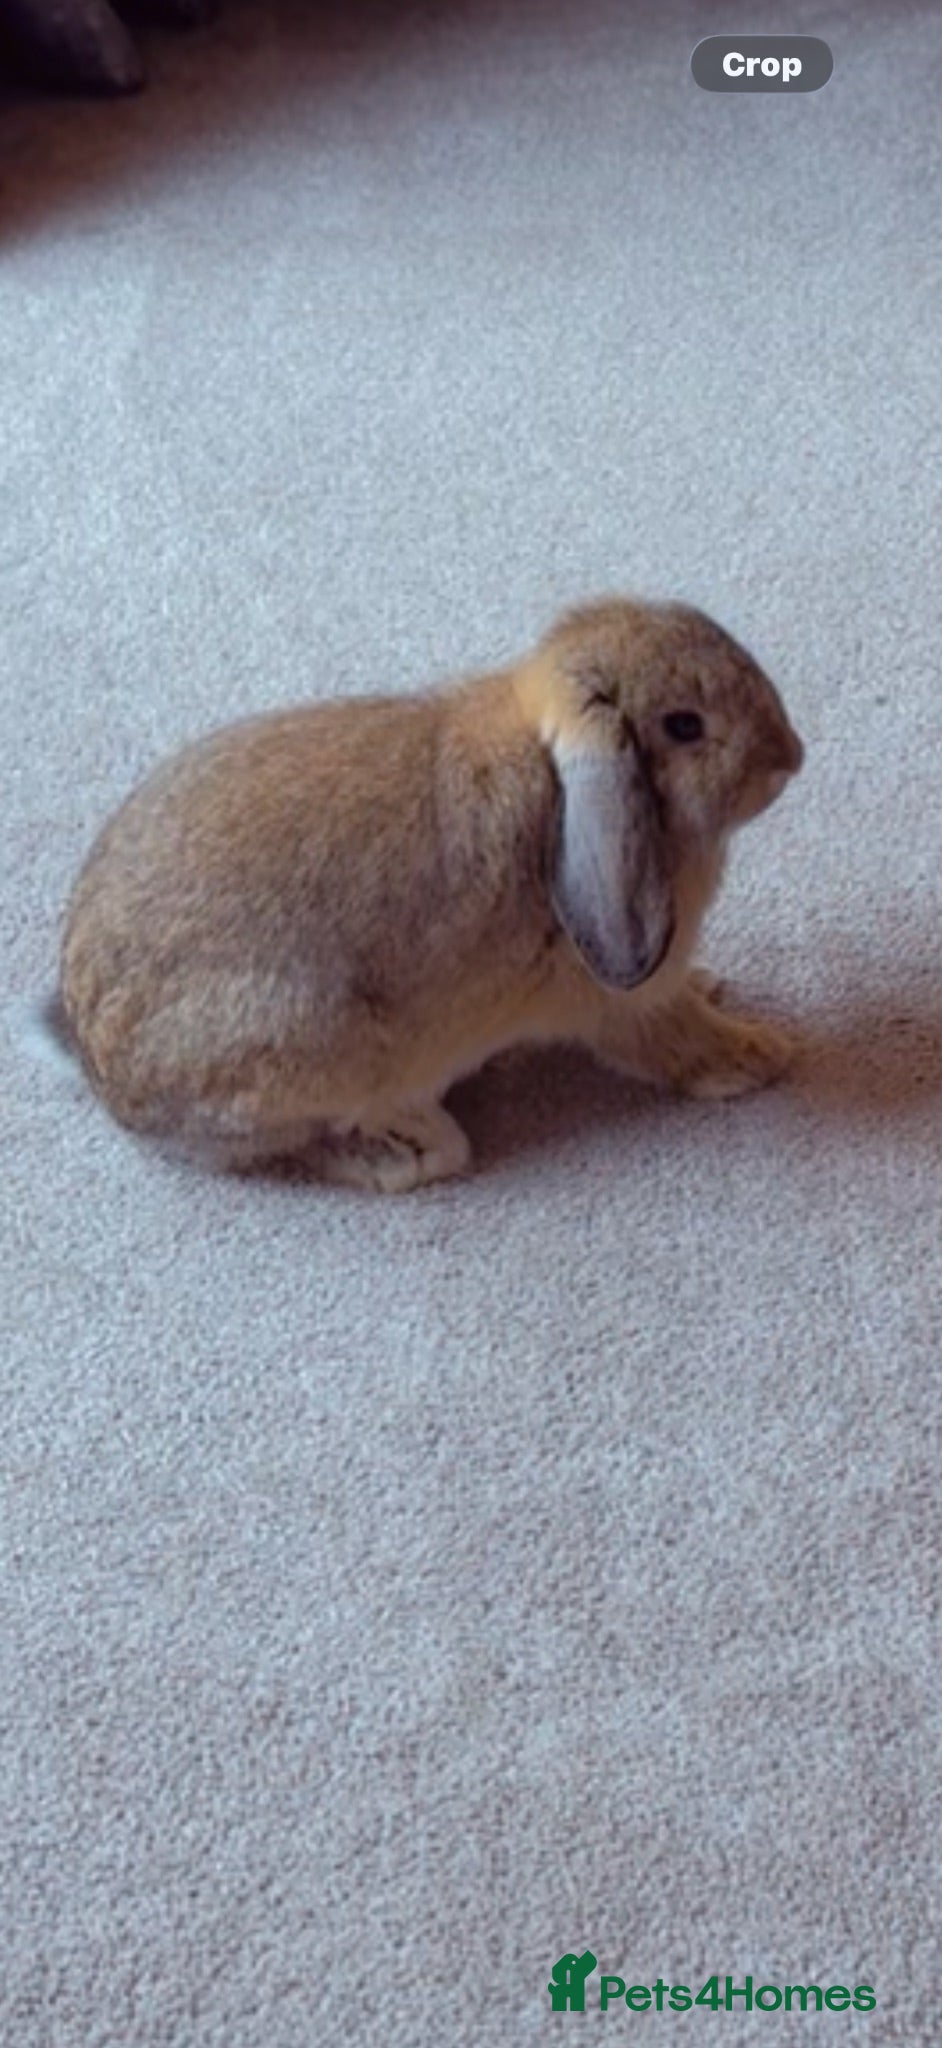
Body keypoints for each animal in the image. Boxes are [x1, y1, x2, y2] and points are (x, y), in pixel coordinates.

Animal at [40, 595, 803, 1193]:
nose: (789, 758)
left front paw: (712, 986)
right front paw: (759, 1055)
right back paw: (411, 1149)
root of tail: (109, 1083)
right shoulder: (625, 1002)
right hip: (310, 1052)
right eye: (685, 725)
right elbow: (674, 1039)